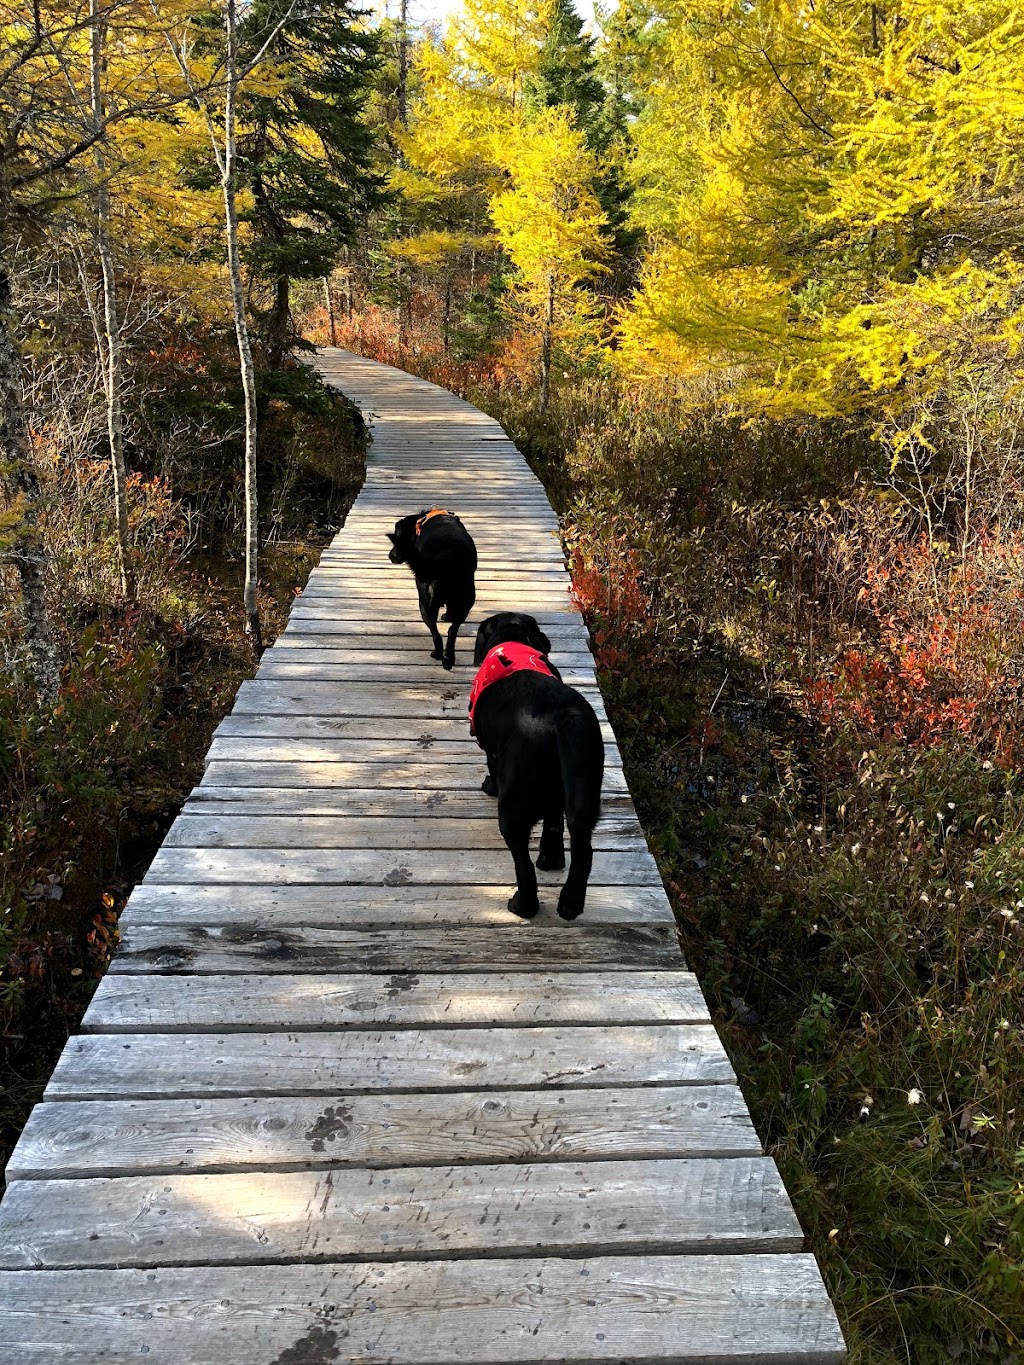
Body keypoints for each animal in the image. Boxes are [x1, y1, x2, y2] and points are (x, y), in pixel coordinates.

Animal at [387, 507, 480, 666]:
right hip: (466, 601)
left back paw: (437, 654)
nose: (390, 556)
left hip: (424, 602)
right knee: (452, 630)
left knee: (436, 633)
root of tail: (445, 563)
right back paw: (448, 659)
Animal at [472, 614, 606, 922]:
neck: (511, 640)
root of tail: (561, 717)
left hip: (513, 807)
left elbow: (491, 765)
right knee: (583, 850)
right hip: (585, 789)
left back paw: (523, 905)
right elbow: (553, 822)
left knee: (523, 865)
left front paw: (489, 785)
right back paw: (570, 903)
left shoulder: (490, 750)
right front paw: (551, 857)